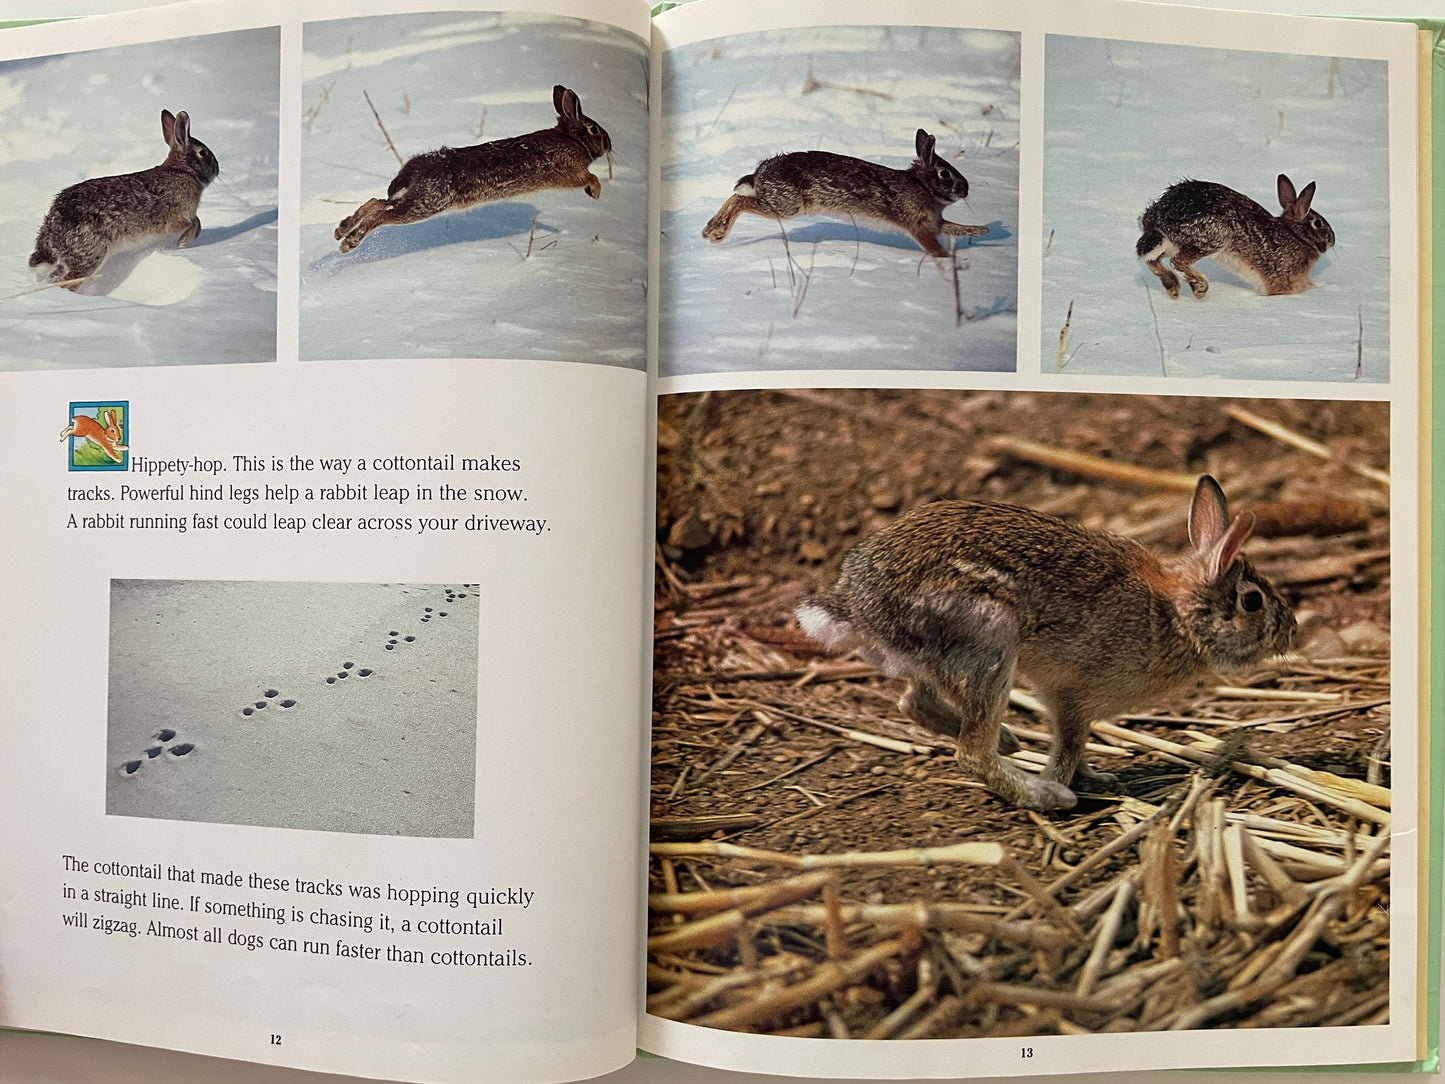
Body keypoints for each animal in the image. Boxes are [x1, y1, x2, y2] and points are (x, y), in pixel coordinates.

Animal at [30, 110, 219, 290]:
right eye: (203, 152)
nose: (217, 169)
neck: (183, 171)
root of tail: (52, 226)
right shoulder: (176, 219)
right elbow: (194, 223)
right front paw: (183, 242)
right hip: (91, 254)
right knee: (68, 281)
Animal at [335, 84, 613, 253]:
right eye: (594, 129)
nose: (610, 145)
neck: (572, 139)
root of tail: (412, 172)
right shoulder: (569, 172)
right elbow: (590, 176)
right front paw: (596, 192)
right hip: (427, 204)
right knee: (383, 215)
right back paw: (350, 242)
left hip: (415, 199)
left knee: (377, 203)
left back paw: (341, 230)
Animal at [702, 129, 988, 259]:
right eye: (945, 173)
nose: (966, 188)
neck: (924, 186)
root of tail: (760, 173)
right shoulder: (918, 225)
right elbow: (932, 245)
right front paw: (949, 260)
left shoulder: (936, 222)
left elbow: (954, 227)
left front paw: (982, 231)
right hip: (785, 205)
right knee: (740, 200)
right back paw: (714, 232)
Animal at [795, 476, 1295, 812]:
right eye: (1252, 601)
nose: (1290, 629)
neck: (1176, 615)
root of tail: (856, 602)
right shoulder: (1074, 696)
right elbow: (1069, 746)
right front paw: (1065, 783)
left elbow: (1077, 746)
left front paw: (1099, 777)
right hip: (990, 642)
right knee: (970, 753)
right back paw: (1042, 794)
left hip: (941, 657)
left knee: (914, 700)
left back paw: (1011, 740)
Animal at [1136, 175, 1335, 299]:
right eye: (1318, 223)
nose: (1333, 240)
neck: (1297, 235)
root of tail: (1158, 217)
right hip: (1215, 236)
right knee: (1177, 261)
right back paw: (1200, 288)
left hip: (1170, 244)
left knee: (1151, 259)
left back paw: (1173, 288)